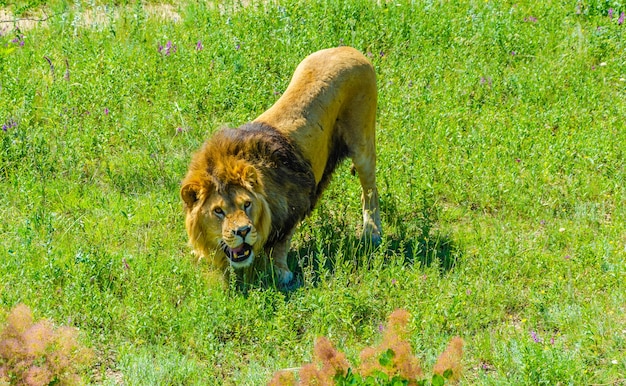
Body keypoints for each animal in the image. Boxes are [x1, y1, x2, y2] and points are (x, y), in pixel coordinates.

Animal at [180, 46, 380, 284]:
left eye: (247, 204)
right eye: (218, 211)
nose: (243, 231)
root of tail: (350, 49)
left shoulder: (294, 202)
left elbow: (280, 244)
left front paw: (281, 274)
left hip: (362, 144)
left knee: (370, 191)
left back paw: (372, 232)